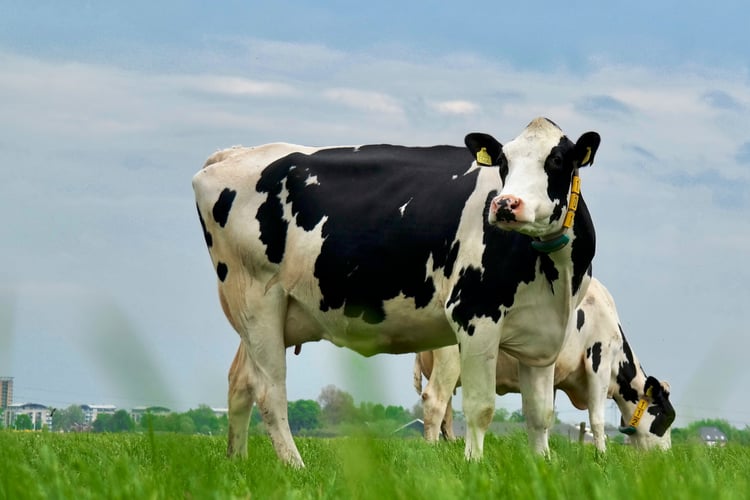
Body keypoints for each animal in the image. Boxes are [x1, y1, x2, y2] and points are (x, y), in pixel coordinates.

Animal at [192, 117, 601, 467]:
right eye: (503, 161)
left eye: (557, 160)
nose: (505, 204)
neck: (555, 274)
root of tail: (233, 154)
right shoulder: (474, 313)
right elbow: (480, 406)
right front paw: (474, 465)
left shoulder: (542, 334)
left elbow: (540, 414)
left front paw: (542, 466)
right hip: (256, 299)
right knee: (270, 390)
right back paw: (295, 466)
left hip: (262, 315)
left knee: (241, 383)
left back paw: (238, 460)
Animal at [414, 277, 676, 451]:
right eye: (665, 417)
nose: (666, 456)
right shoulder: (598, 364)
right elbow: (597, 419)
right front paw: (602, 455)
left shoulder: (556, 377)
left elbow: (544, 414)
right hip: (450, 360)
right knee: (435, 400)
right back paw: (432, 450)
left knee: (446, 410)